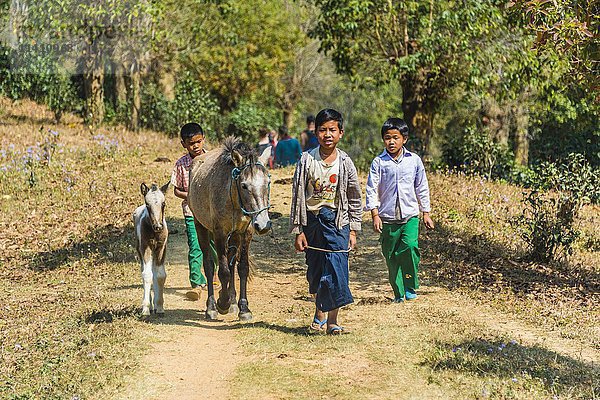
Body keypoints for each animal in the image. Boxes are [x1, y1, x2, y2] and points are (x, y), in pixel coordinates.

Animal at [132, 183, 168, 318]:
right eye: (148, 204)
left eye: (163, 203)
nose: (158, 226)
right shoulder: (145, 247)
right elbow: (147, 275)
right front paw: (146, 309)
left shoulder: (161, 247)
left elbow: (160, 275)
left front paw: (160, 307)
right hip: (140, 249)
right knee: (145, 270)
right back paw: (151, 307)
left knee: (154, 270)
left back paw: (156, 306)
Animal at [189, 136, 270, 320]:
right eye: (244, 185)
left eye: (268, 182)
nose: (263, 225)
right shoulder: (219, 233)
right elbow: (223, 271)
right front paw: (222, 303)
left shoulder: (246, 232)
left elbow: (242, 268)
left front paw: (244, 308)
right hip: (201, 226)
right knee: (209, 264)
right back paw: (212, 306)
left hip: (234, 236)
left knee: (232, 265)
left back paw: (233, 302)